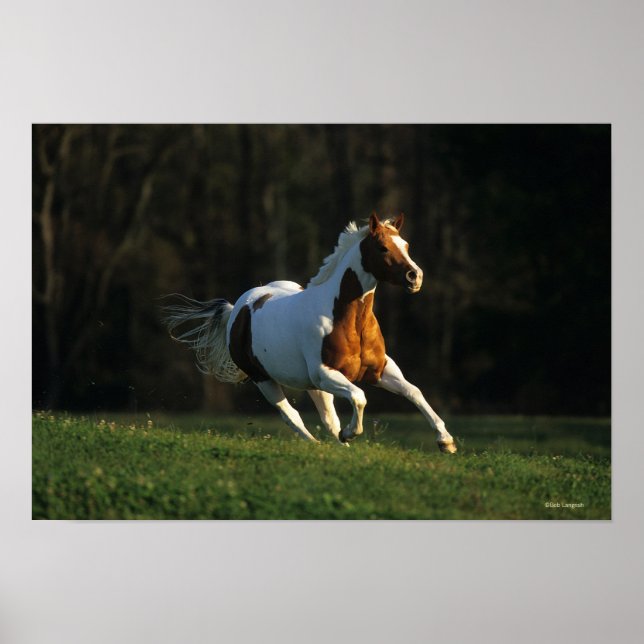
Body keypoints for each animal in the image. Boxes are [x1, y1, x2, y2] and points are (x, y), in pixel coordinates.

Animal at [163, 212, 457, 453]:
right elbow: (359, 397)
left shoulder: (380, 369)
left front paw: (446, 442)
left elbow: (413, 392)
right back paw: (319, 444)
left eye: (406, 246)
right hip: (265, 380)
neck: (348, 320)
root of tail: (238, 308)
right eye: (383, 247)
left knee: (327, 418)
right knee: (291, 415)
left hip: (313, 386)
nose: (414, 277)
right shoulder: (325, 373)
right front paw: (350, 433)